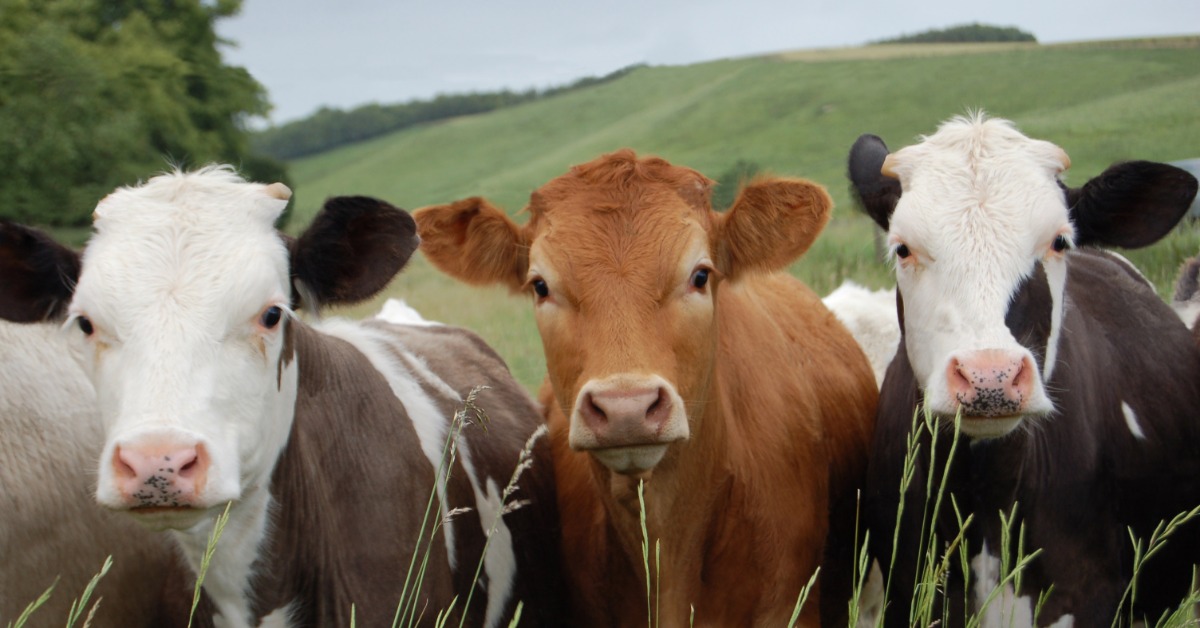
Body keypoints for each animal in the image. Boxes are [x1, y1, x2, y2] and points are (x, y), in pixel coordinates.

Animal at [848, 113, 1200, 625]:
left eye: (1059, 241)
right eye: (903, 248)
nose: (988, 377)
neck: (985, 495)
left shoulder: (1085, 597)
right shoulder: (908, 593)